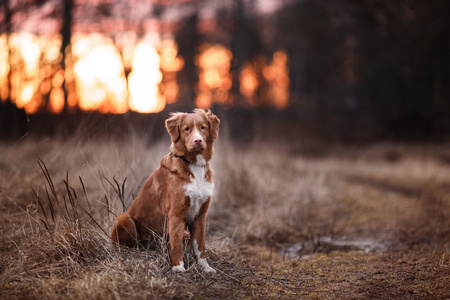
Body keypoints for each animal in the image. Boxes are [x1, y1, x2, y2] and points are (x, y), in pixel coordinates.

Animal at [110, 109, 220, 274]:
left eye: (203, 128)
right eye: (186, 129)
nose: (198, 141)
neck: (194, 165)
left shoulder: (200, 214)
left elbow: (200, 244)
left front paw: (205, 267)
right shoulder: (176, 213)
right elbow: (176, 244)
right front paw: (178, 267)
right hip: (124, 218)